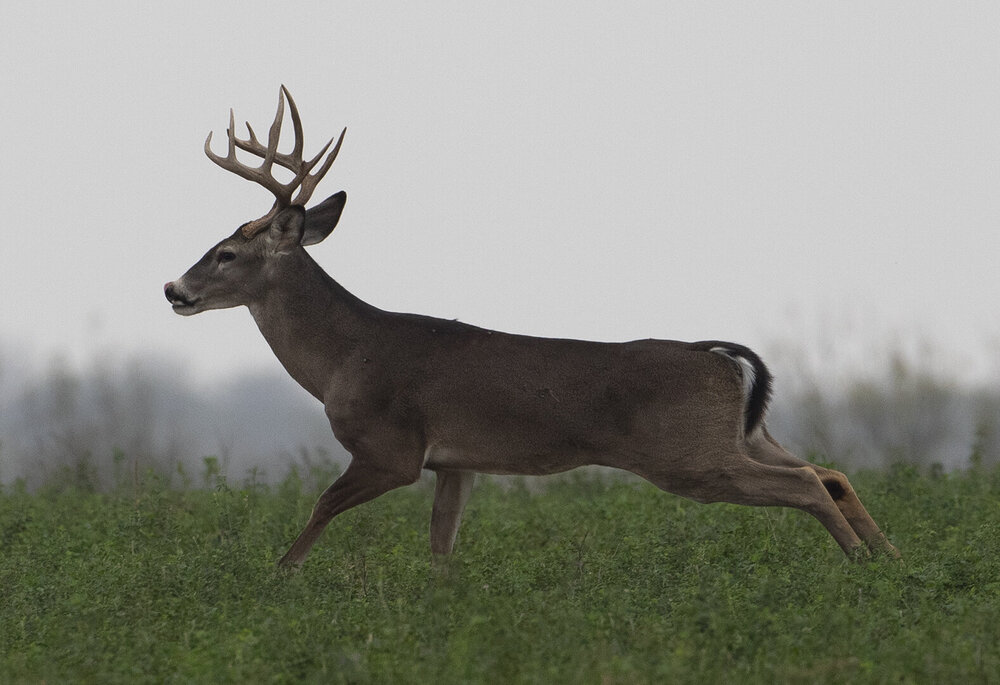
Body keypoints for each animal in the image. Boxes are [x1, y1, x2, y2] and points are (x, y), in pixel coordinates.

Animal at [164, 86, 898, 568]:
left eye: (225, 253)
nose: (174, 289)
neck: (343, 359)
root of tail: (716, 353)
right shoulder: (455, 461)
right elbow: (440, 549)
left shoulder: (391, 448)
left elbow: (319, 508)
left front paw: (279, 579)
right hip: (746, 434)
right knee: (829, 470)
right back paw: (892, 564)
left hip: (690, 455)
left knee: (807, 483)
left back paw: (862, 567)